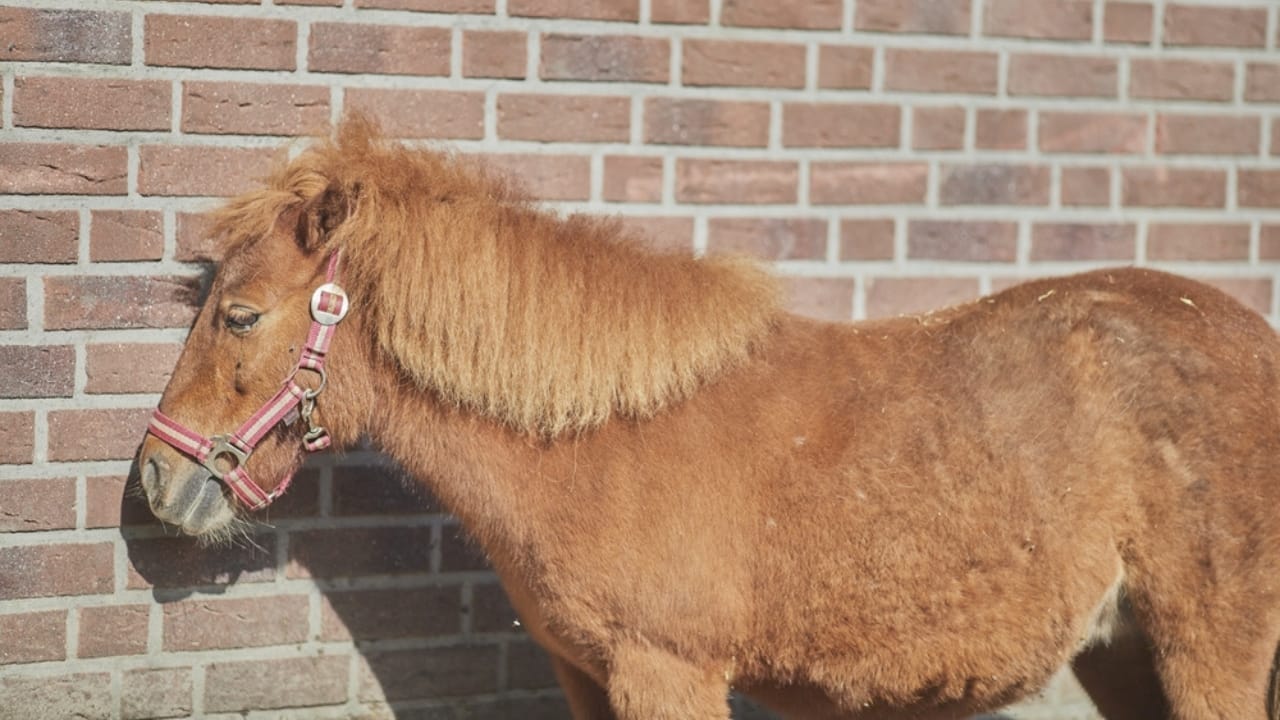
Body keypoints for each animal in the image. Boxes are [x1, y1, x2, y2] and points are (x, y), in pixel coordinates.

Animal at [137, 116, 1280, 720]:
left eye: (240, 314)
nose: (155, 477)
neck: (597, 445)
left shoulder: (666, 674)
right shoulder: (584, 675)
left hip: (1207, 650)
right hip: (1124, 653)